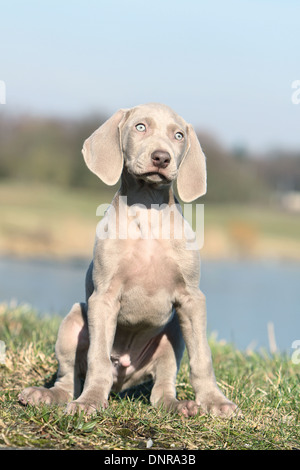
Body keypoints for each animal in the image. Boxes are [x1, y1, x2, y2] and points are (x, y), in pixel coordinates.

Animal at [19, 103, 239, 418]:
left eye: (179, 135)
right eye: (140, 127)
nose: (162, 157)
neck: (147, 209)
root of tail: (121, 380)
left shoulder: (192, 298)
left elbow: (202, 357)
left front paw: (214, 401)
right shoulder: (103, 297)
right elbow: (97, 357)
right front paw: (89, 402)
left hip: (173, 332)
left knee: (161, 390)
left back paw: (179, 405)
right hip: (74, 319)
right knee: (69, 379)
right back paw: (48, 395)